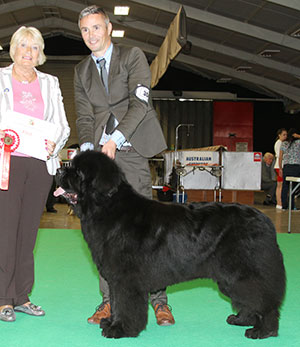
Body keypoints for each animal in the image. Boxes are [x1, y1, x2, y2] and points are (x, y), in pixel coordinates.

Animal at [56, 150, 286, 340]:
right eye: (70, 166)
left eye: (77, 172)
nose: (58, 169)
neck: (106, 206)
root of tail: (265, 220)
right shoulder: (115, 278)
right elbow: (115, 302)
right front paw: (110, 322)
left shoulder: (126, 279)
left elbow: (124, 304)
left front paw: (120, 329)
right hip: (230, 277)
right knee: (250, 300)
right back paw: (241, 320)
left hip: (242, 272)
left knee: (263, 300)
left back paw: (263, 331)